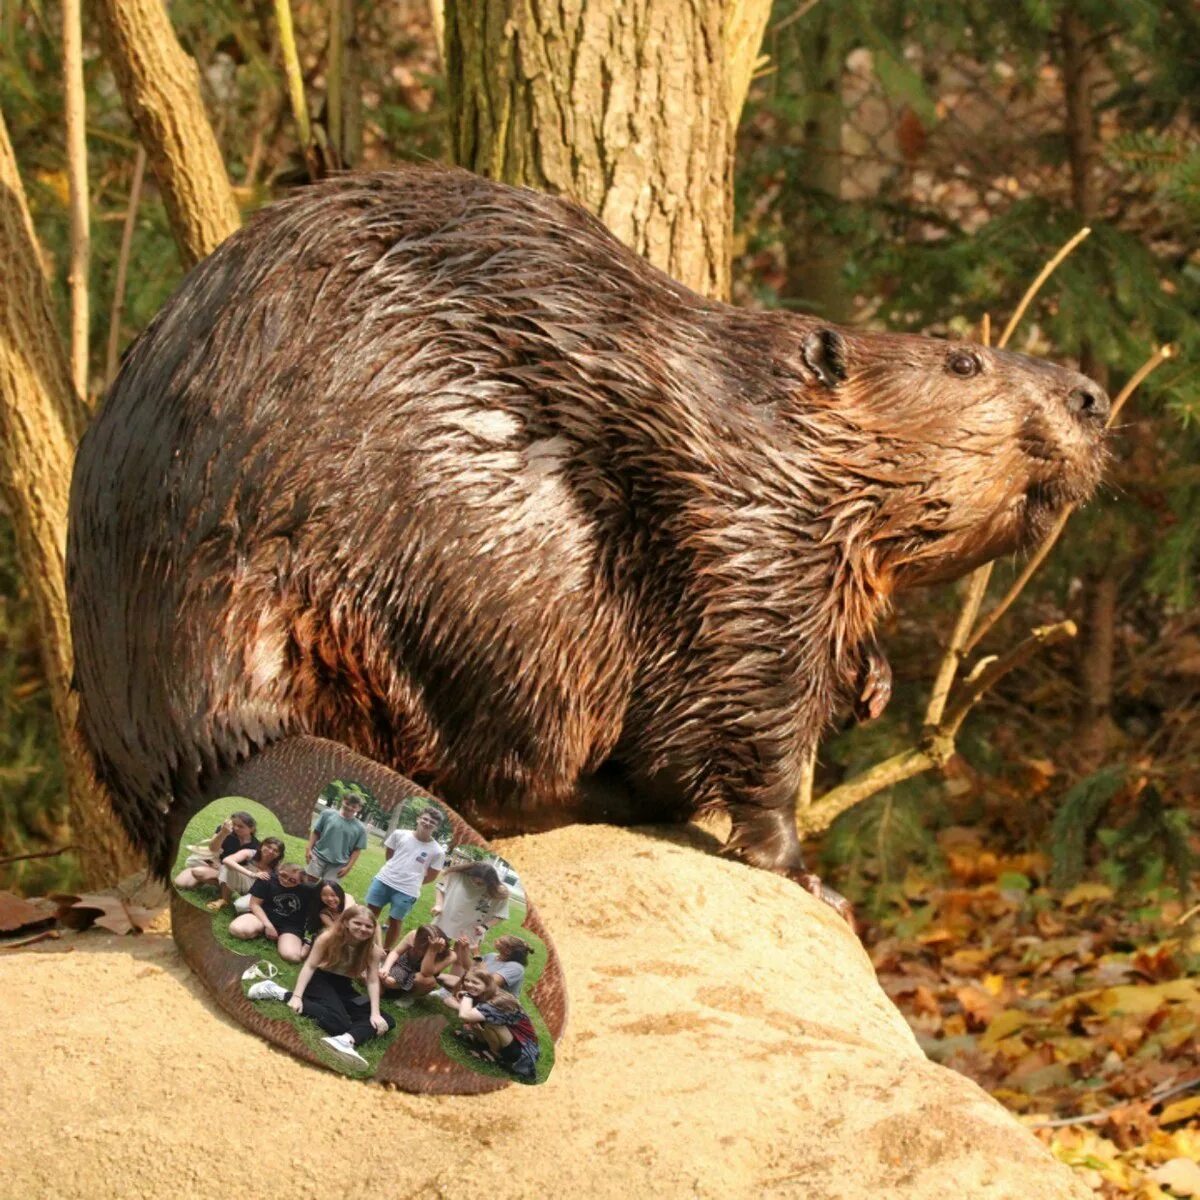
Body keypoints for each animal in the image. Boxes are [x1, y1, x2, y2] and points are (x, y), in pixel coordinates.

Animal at [68, 164, 1104, 902]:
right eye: (963, 361)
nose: (1093, 396)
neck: (761, 427)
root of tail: (224, 758)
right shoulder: (743, 538)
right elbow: (754, 713)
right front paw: (805, 873)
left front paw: (874, 683)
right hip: (511, 582)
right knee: (508, 777)